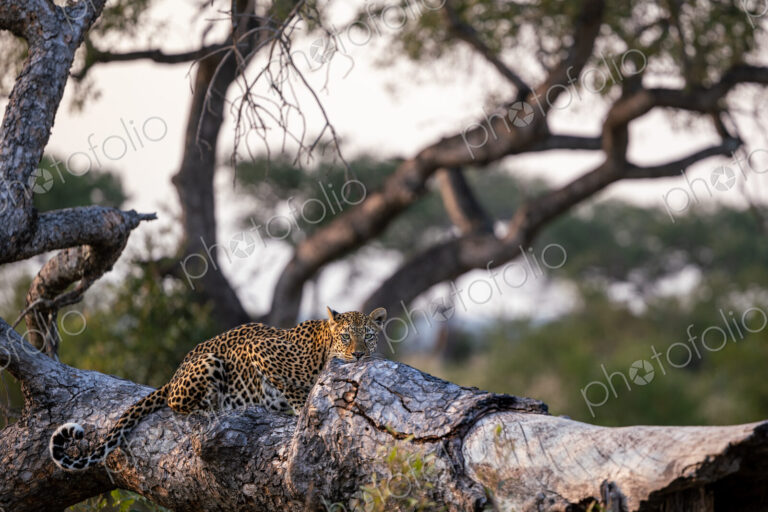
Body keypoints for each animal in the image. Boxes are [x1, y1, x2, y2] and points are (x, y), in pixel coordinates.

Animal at [49, 306, 387, 471]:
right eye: (345, 336)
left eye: (369, 336)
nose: (359, 354)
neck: (322, 351)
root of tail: (175, 372)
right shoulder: (260, 348)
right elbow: (292, 388)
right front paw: (302, 405)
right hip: (210, 362)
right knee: (175, 402)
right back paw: (210, 406)